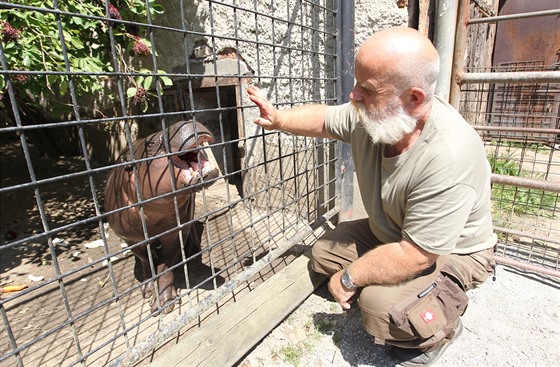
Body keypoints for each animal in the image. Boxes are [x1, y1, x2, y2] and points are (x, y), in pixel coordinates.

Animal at [104, 121, 220, 316]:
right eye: (150, 144)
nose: (186, 120)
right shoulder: (131, 239)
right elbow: (146, 262)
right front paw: (147, 290)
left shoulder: (174, 233)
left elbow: (166, 267)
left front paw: (164, 303)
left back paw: (193, 250)